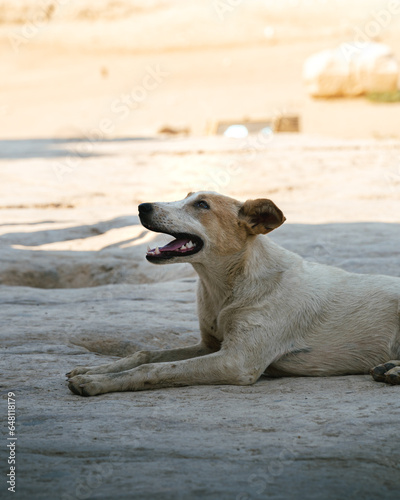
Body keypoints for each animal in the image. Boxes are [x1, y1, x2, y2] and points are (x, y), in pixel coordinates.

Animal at [66, 190, 400, 394]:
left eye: (202, 205)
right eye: (185, 195)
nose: (142, 206)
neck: (226, 287)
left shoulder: (236, 361)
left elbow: (156, 368)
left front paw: (95, 382)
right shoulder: (210, 345)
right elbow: (145, 354)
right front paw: (93, 368)